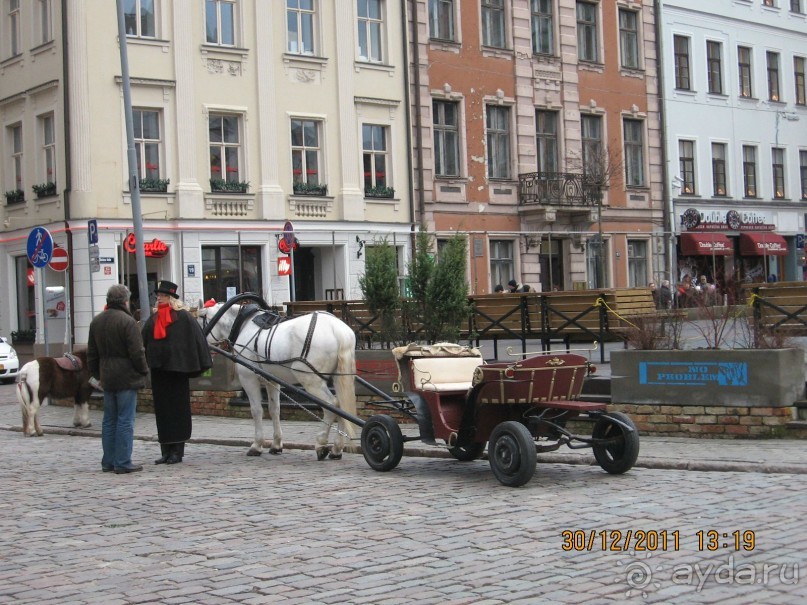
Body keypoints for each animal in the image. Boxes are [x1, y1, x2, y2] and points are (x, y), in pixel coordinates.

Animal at [197, 300, 358, 460]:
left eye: (199, 320)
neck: (244, 325)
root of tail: (338, 331)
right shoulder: (272, 381)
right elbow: (274, 409)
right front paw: (276, 444)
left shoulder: (248, 378)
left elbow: (256, 410)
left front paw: (257, 445)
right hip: (338, 378)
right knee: (341, 405)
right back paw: (336, 449)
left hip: (311, 380)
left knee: (332, 405)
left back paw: (321, 444)